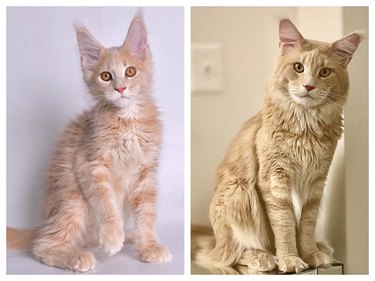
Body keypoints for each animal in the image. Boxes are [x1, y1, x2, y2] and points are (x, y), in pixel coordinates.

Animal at [8, 13, 172, 272]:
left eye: (130, 71)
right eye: (106, 76)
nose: (120, 88)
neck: (127, 119)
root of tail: (44, 223)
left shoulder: (146, 173)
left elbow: (146, 214)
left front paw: (148, 245)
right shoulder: (89, 164)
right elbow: (105, 203)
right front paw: (112, 236)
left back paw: (129, 236)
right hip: (73, 200)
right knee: (42, 246)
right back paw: (78, 255)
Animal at [195, 18, 362, 272]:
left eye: (324, 72)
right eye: (298, 68)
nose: (309, 87)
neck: (306, 128)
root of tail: (214, 239)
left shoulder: (315, 185)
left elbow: (306, 228)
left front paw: (311, 255)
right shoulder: (275, 181)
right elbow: (284, 226)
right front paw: (289, 259)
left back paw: (322, 248)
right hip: (238, 191)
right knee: (228, 254)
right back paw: (262, 257)